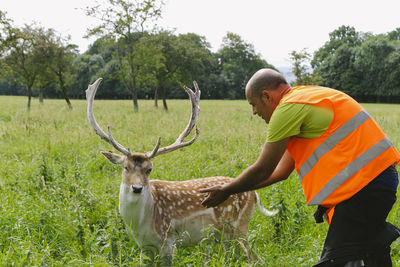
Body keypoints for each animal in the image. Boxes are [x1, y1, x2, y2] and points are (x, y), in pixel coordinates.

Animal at [85, 78, 276, 262]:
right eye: (126, 167)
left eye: (149, 169)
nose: (137, 188)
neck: (142, 223)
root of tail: (254, 194)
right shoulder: (144, 247)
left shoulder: (168, 240)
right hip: (225, 237)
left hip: (239, 227)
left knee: (254, 258)